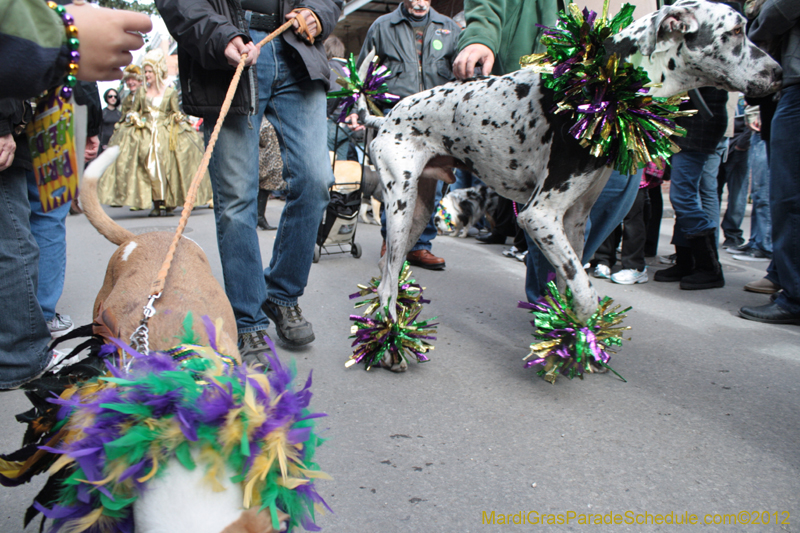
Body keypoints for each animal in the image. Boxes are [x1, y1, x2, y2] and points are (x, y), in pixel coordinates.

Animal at [362, 0, 780, 370]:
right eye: (737, 31)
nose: (778, 73)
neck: (608, 86)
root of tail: (388, 115)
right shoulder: (539, 216)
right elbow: (586, 294)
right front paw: (570, 341)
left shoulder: (575, 222)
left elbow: (574, 286)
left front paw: (574, 340)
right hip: (402, 210)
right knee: (387, 281)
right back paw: (390, 344)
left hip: (417, 214)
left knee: (387, 270)